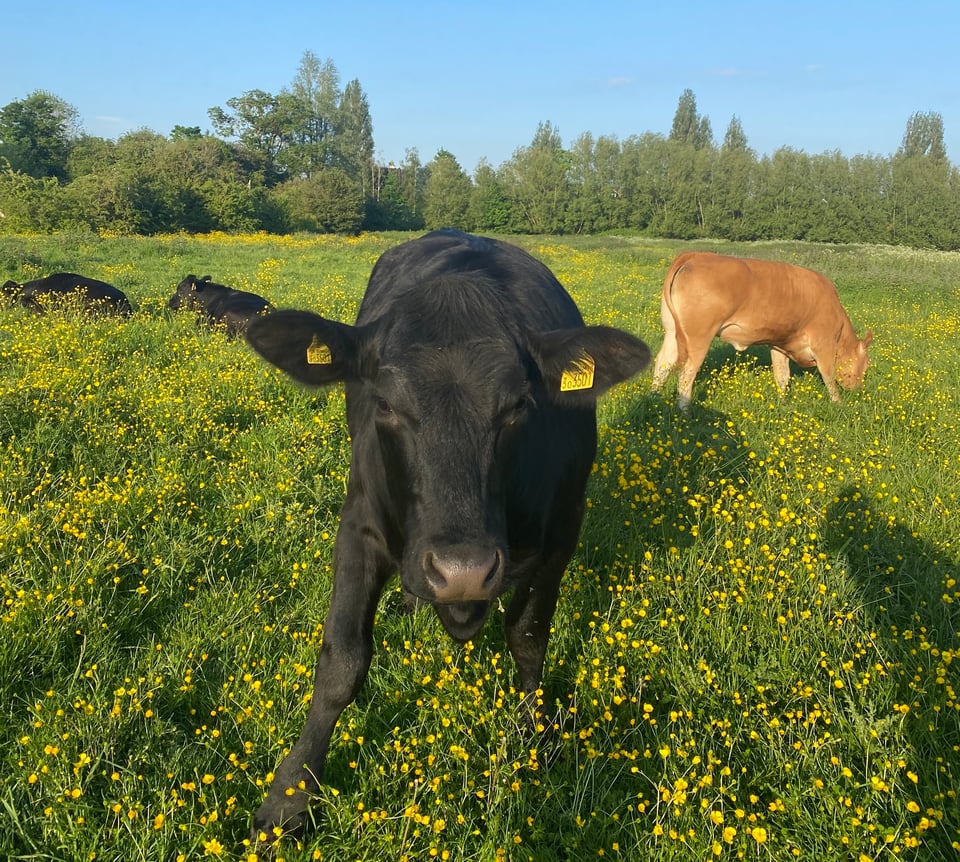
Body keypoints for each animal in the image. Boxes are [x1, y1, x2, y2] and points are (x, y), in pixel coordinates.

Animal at [243, 229, 651, 842]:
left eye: (518, 405)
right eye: (385, 403)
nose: (462, 572)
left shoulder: (563, 530)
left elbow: (528, 636)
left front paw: (533, 734)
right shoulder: (359, 524)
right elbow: (342, 660)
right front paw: (289, 795)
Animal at [651, 252, 873, 409]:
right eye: (866, 364)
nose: (858, 390)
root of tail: (696, 254)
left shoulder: (780, 344)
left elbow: (782, 375)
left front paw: (784, 405)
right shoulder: (823, 343)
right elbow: (828, 376)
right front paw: (838, 403)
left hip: (671, 331)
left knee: (663, 363)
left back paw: (654, 398)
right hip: (698, 337)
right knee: (686, 374)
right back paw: (685, 412)